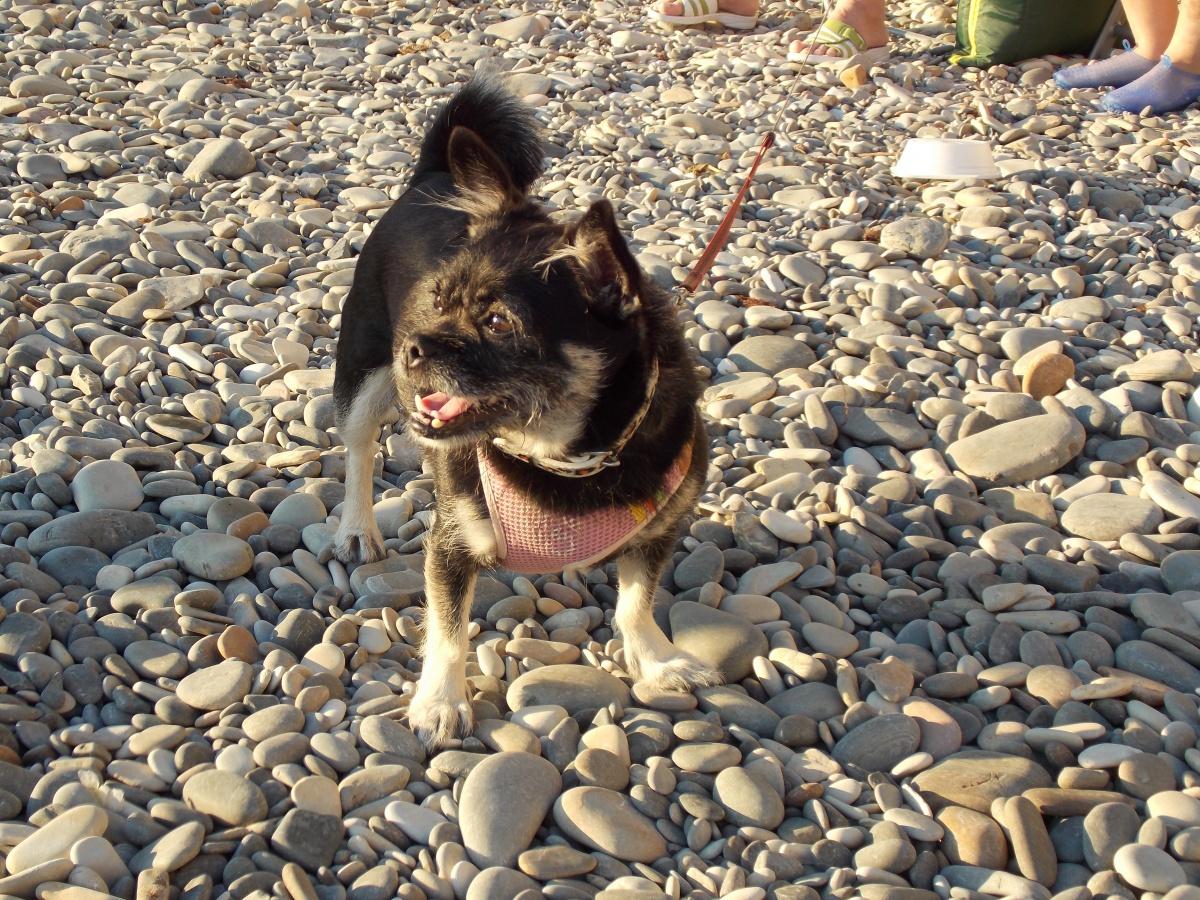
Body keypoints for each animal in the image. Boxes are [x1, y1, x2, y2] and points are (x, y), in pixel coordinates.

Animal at [332, 77, 721, 748]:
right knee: (358, 448)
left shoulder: (659, 529)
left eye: (498, 323)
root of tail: (432, 176)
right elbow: (448, 631)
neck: (566, 454)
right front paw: (441, 700)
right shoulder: (452, 544)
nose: (414, 346)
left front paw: (655, 659)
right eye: (436, 299)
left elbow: (636, 602)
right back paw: (359, 526)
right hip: (361, 369)